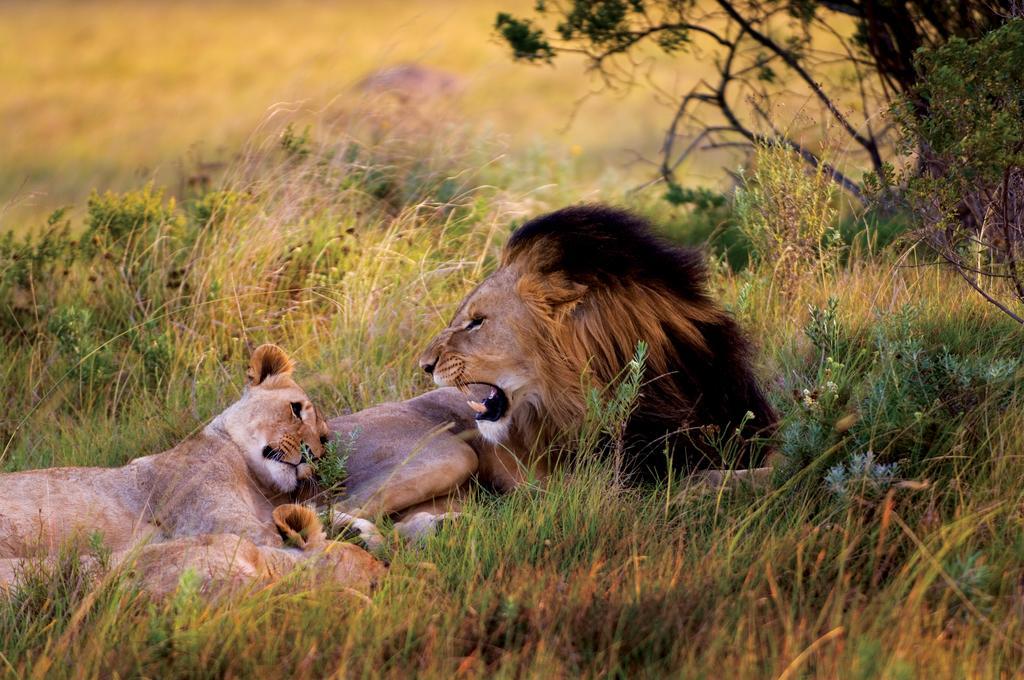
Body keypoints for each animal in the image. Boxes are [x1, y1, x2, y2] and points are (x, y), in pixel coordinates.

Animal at [0, 346, 385, 593]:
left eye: (323, 440)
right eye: (295, 409)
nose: (311, 456)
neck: (258, 485)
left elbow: (324, 513)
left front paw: (368, 533)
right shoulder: (222, 523)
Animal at [325, 202, 770, 536]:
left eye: (477, 322)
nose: (424, 365)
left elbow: (763, 468)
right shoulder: (617, 484)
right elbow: (712, 479)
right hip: (449, 453)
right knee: (331, 509)